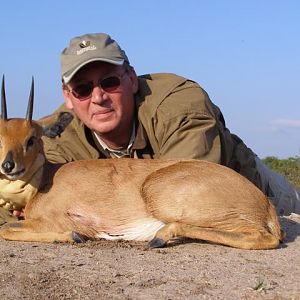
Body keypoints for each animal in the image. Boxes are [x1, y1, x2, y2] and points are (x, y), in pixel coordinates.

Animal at [0, 76, 284, 250]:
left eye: (32, 138)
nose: (8, 166)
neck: (45, 181)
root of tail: (264, 203)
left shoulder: (58, 219)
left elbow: (6, 230)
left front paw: (73, 236)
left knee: (262, 237)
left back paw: (160, 238)